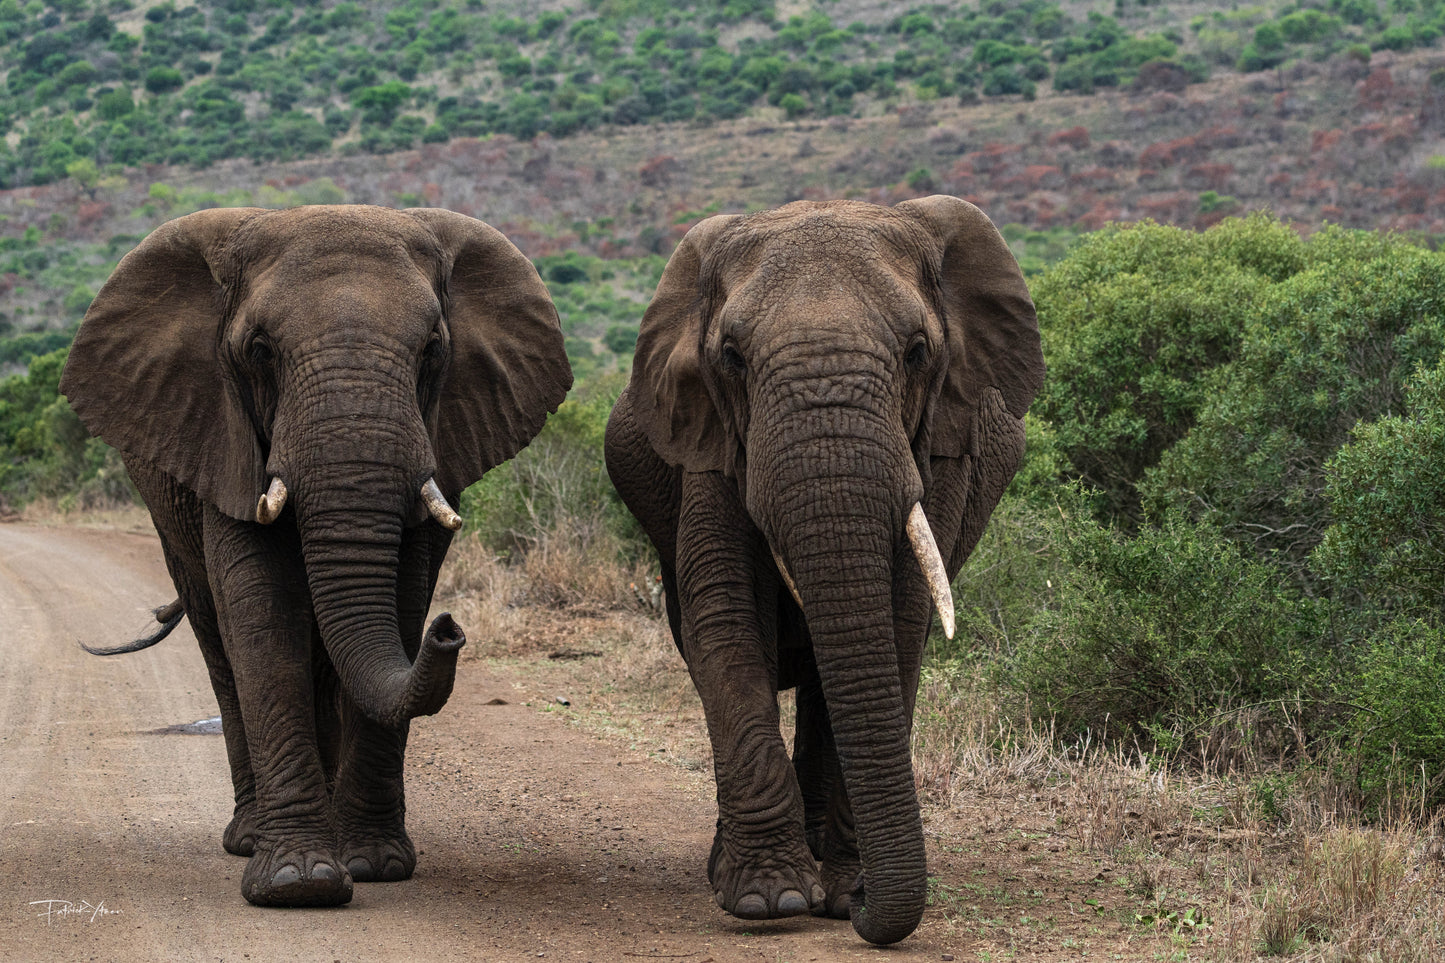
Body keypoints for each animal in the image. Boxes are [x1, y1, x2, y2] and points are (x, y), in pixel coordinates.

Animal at [59, 205, 572, 907]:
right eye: (259, 351)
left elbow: (401, 602)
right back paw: (249, 838)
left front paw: (374, 866)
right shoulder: (225, 436)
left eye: (433, 351)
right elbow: (264, 618)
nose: (451, 630)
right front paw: (298, 884)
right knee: (220, 642)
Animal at [604, 196, 1043, 945]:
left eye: (917, 352)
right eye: (731, 357)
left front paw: (842, 894)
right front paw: (770, 900)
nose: (868, 910)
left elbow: (897, 623)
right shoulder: (710, 442)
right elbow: (725, 618)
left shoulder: (940, 445)